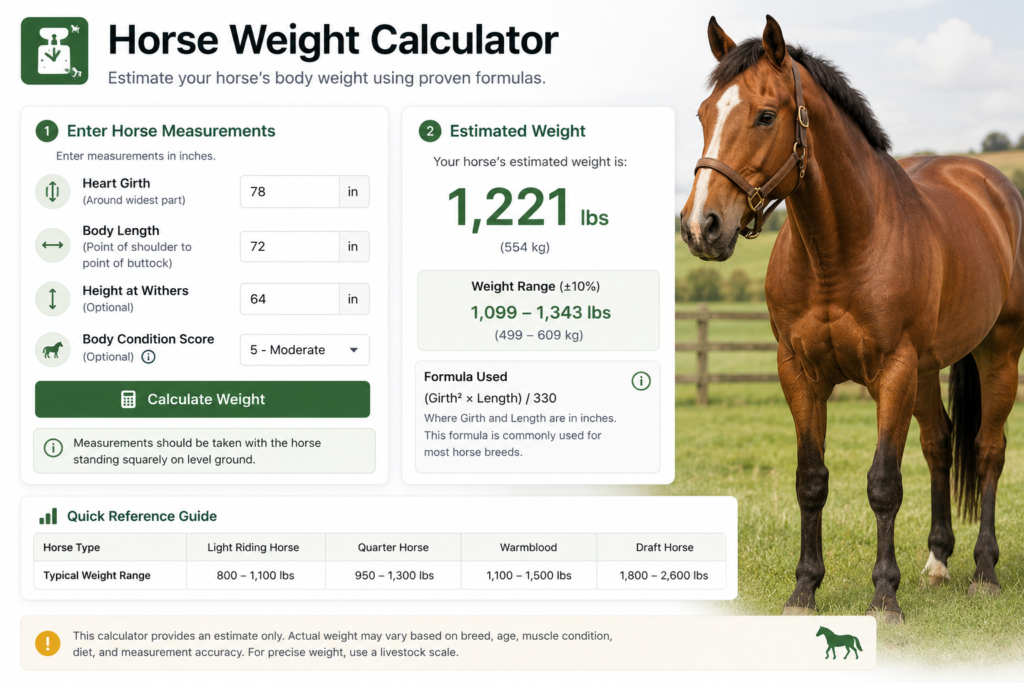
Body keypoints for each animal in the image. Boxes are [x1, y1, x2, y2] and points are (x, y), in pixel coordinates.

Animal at [680, 15, 1024, 624]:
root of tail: (991, 185)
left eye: (765, 115)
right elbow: (811, 480)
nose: (702, 226)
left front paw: (884, 597)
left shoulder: (893, 371)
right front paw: (803, 590)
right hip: (928, 371)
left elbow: (884, 483)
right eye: (704, 115)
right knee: (939, 444)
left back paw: (984, 571)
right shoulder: (800, 373)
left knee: (988, 450)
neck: (839, 250)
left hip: (998, 351)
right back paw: (938, 562)